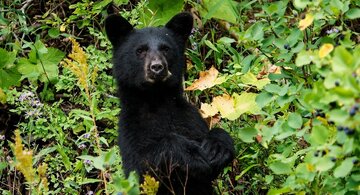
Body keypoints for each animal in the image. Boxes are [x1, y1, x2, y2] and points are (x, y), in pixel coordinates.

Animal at [104, 12, 235, 194]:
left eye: (165, 48)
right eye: (140, 50)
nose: (157, 67)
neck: (157, 99)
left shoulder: (189, 119)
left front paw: (217, 147)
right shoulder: (131, 131)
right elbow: (142, 165)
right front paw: (190, 154)